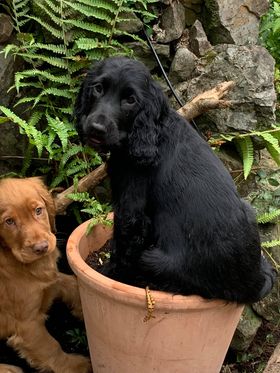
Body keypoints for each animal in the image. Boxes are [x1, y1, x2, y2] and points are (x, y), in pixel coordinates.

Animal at [0, 177, 91, 372]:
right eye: (9, 221)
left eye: (38, 210)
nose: (41, 248)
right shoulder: (27, 324)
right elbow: (51, 347)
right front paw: (77, 366)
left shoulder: (49, 282)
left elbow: (72, 284)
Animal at [74, 57, 276, 302]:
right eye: (98, 88)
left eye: (130, 100)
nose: (97, 128)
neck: (147, 135)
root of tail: (256, 283)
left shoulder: (131, 210)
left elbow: (121, 248)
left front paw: (109, 274)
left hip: (155, 260)